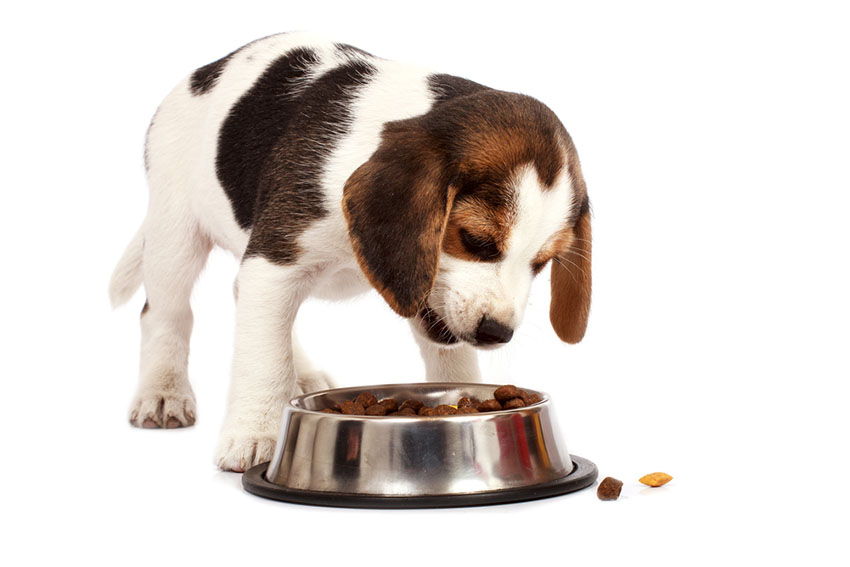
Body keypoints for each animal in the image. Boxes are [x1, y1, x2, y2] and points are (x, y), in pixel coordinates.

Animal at [107, 32, 588, 474]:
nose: (496, 333)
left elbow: (451, 359)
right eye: (476, 241)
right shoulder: (274, 263)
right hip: (174, 234)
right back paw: (163, 392)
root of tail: (202, 72)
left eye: (542, 263)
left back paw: (301, 374)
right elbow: (264, 361)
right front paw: (254, 434)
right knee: (166, 314)